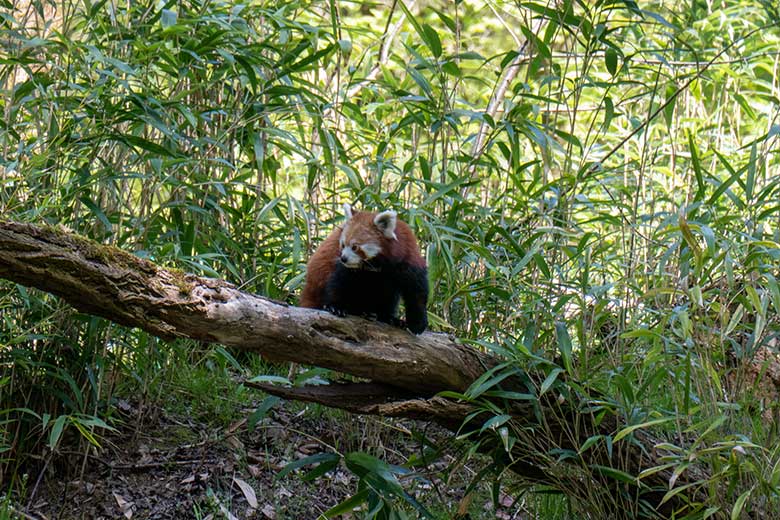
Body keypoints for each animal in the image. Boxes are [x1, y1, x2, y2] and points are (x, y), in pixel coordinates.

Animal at [300, 203, 432, 334]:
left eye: (355, 247)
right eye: (343, 245)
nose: (343, 258)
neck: (378, 263)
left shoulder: (408, 259)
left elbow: (416, 292)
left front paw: (417, 323)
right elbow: (338, 283)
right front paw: (336, 306)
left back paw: (386, 317)